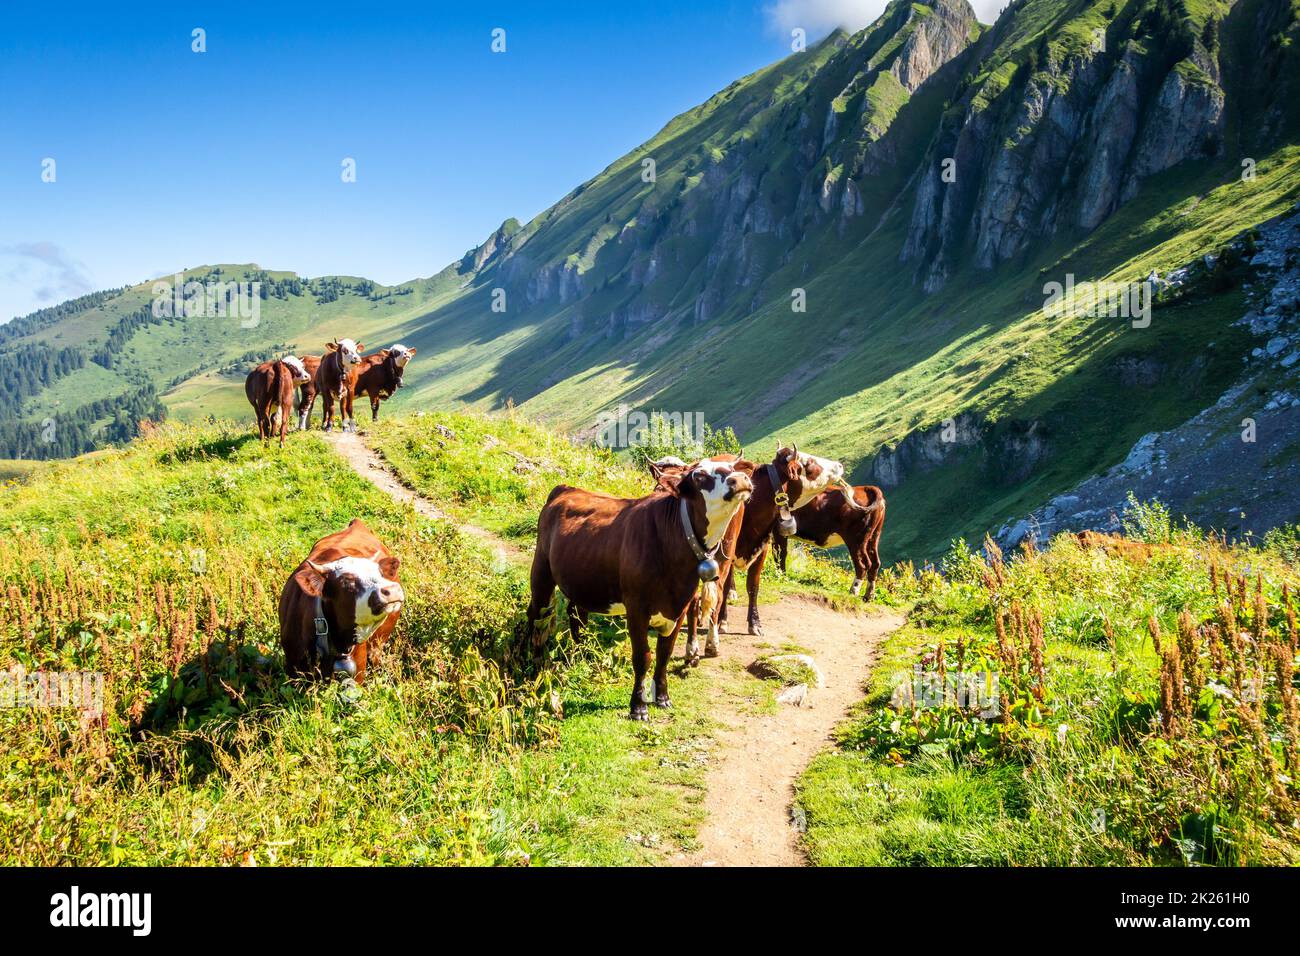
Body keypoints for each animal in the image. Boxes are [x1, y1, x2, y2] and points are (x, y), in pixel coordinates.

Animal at [527, 459, 755, 719]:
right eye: (699, 476)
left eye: (732, 467)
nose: (740, 480)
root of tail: (566, 488)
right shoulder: (636, 607)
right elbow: (642, 656)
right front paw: (638, 706)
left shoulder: (679, 605)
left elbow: (664, 653)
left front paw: (663, 697)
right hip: (541, 570)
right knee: (536, 614)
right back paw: (532, 661)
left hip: (581, 577)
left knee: (577, 614)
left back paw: (583, 656)